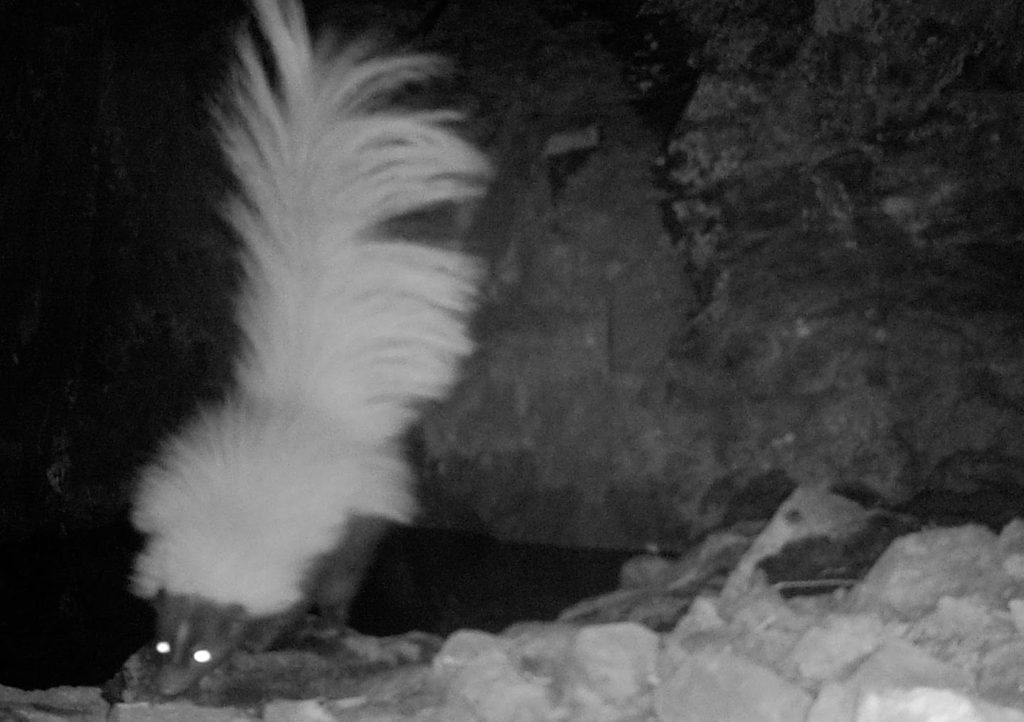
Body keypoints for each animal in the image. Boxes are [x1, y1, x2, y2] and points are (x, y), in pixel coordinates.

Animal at [126, 0, 487, 696]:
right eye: (161, 642)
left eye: (204, 651)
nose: (172, 686)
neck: (231, 522)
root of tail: (312, 401)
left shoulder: (315, 549)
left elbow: (298, 600)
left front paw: (272, 641)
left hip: (361, 518)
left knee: (347, 580)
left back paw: (342, 627)